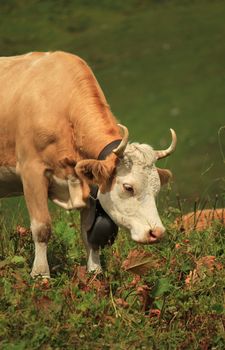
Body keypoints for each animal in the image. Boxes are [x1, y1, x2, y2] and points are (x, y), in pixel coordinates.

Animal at [0, 50, 177, 278]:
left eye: (157, 189)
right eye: (128, 187)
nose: (157, 232)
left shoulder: (89, 183)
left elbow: (89, 233)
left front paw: (95, 272)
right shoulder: (32, 172)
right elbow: (42, 227)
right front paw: (40, 275)